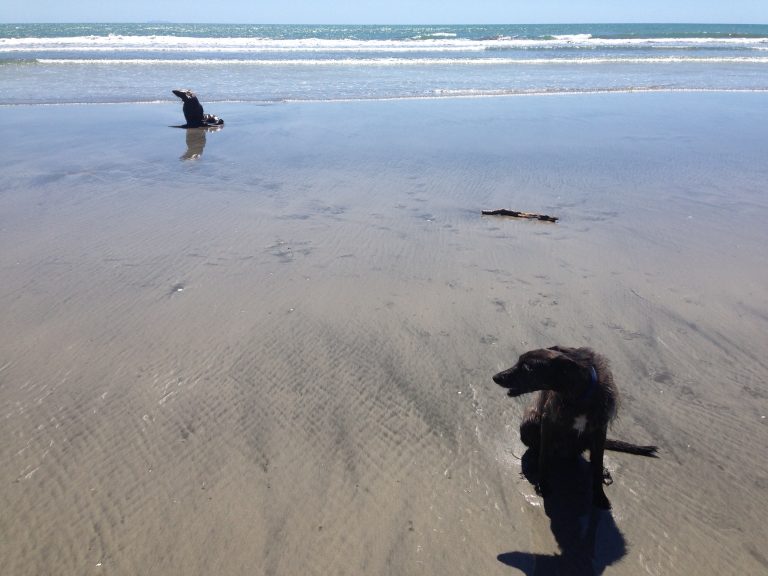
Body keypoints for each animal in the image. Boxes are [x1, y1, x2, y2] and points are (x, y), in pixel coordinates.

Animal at [496, 346, 656, 508]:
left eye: (527, 368)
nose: (495, 377)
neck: (579, 398)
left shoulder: (600, 430)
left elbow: (598, 463)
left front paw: (600, 495)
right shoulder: (548, 422)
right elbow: (543, 458)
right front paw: (543, 484)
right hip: (529, 425)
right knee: (538, 450)